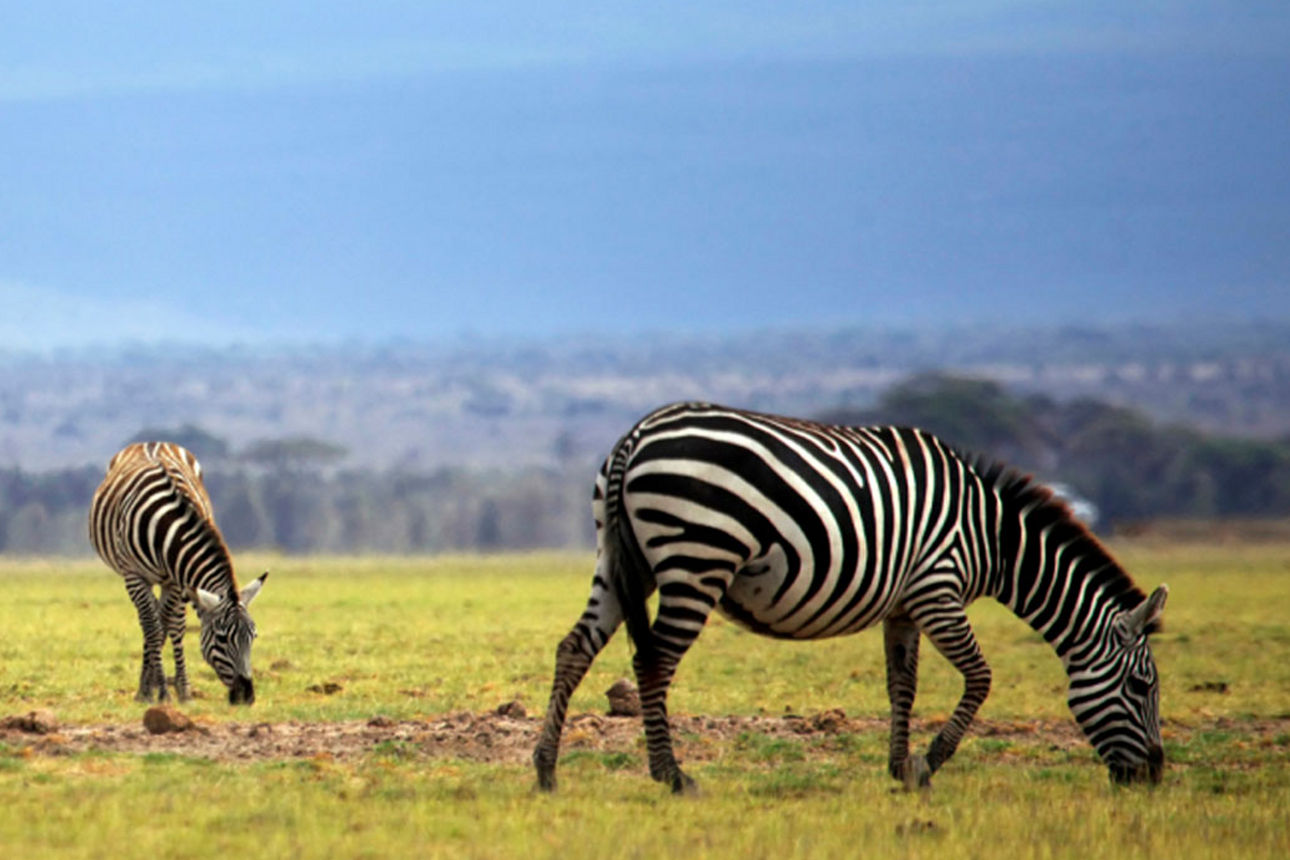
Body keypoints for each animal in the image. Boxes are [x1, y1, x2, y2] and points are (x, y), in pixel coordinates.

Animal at [89, 442, 268, 705]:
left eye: (253, 637)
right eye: (222, 639)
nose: (246, 697)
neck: (167, 528)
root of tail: (151, 442)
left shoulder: (176, 580)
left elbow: (168, 626)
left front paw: (177, 689)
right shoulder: (134, 575)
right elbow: (154, 628)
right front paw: (160, 691)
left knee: (168, 621)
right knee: (148, 621)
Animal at [533, 401, 1168, 793]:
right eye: (1142, 686)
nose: (1155, 777)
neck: (994, 539)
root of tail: (635, 437)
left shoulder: (904, 607)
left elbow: (901, 686)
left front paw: (898, 768)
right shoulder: (938, 589)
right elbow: (981, 677)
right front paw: (928, 763)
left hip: (621, 561)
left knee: (574, 648)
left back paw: (545, 770)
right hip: (697, 557)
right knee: (654, 661)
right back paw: (672, 776)